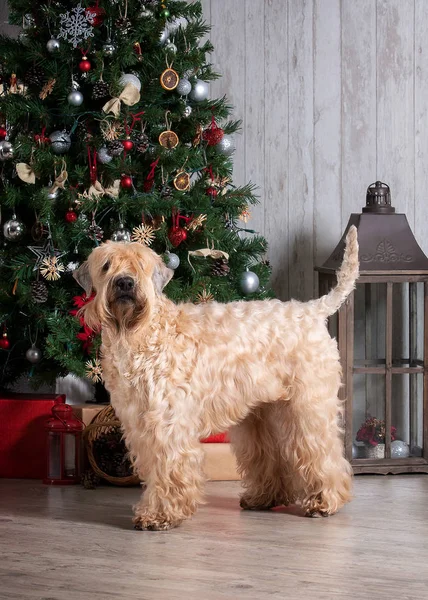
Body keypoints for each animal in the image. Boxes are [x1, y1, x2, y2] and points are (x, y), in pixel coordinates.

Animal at [73, 225, 358, 528]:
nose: (125, 283)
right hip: (261, 411)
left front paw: (161, 515)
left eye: (141, 264)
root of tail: (311, 311)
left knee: (321, 451)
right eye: (106, 265)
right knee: (270, 454)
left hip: (307, 407)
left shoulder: (166, 420)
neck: (141, 335)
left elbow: (168, 467)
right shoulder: (137, 421)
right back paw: (264, 498)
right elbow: (154, 468)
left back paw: (324, 502)